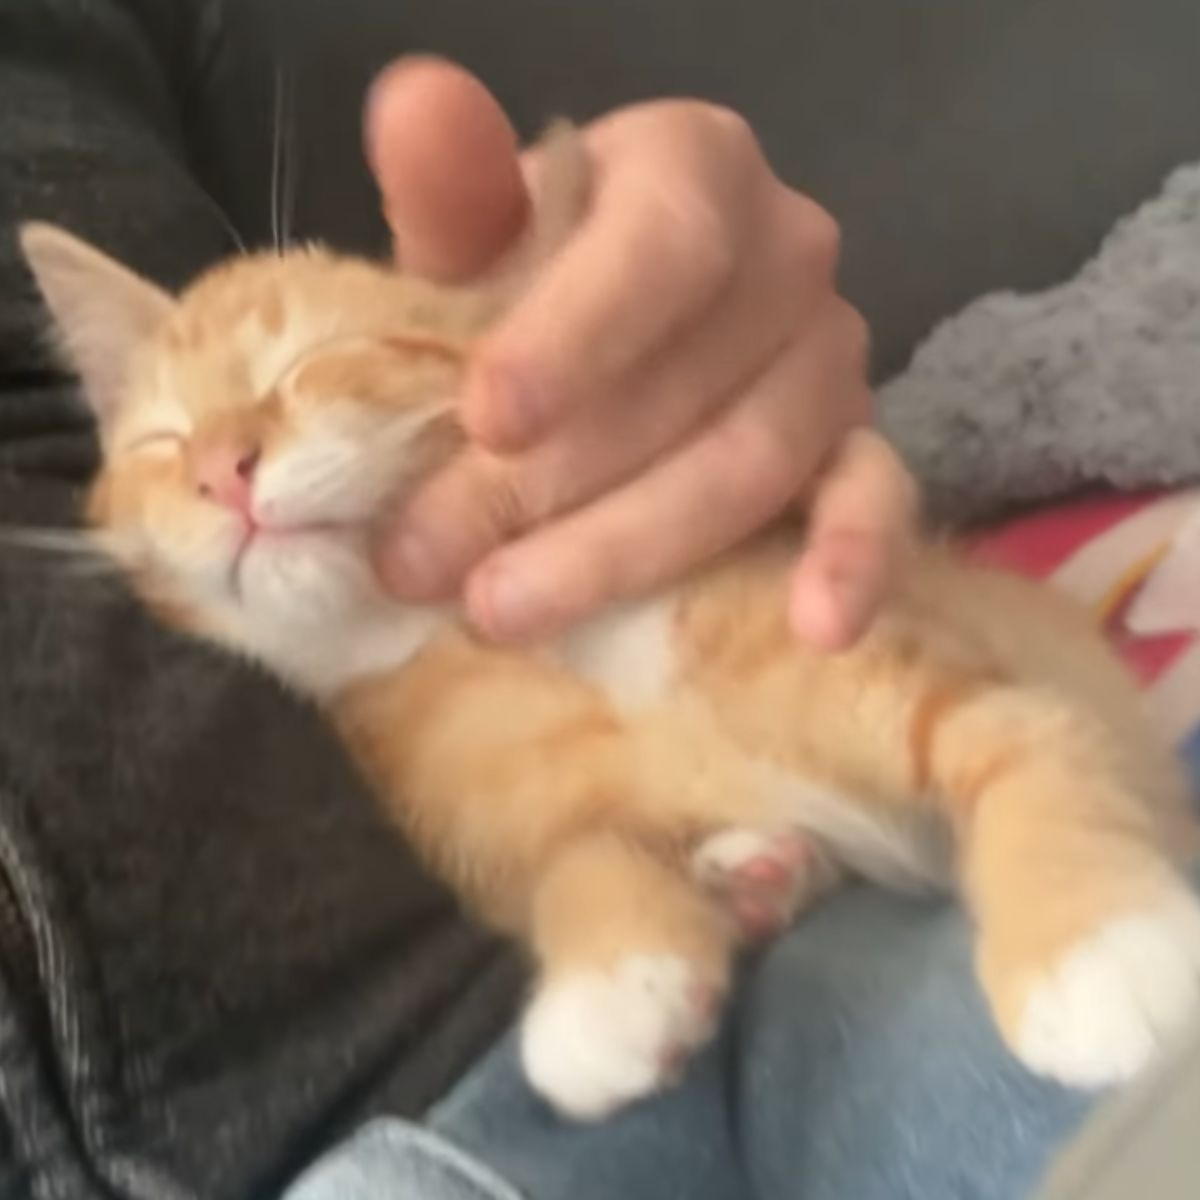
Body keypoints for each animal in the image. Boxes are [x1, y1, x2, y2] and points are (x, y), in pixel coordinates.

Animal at [18, 121, 1200, 1123]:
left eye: (314, 364)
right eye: (165, 442)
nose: (222, 468)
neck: (511, 644)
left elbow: (1028, 740)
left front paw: (1094, 944)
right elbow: (577, 853)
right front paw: (614, 982)